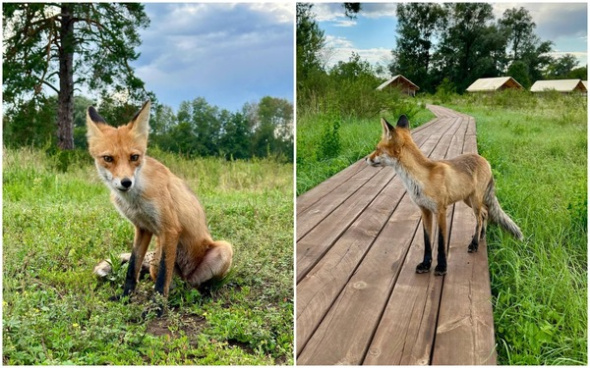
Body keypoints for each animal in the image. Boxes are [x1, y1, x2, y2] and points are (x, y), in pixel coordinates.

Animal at [86, 100, 234, 310]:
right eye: (108, 159)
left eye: (134, 157)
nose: (126, 182)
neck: (136, 200)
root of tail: (185, 279)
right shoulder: (142, 228)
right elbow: (132, 268)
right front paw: (125, 298)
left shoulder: (170, 229)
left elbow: (163, 278)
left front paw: (155, 310)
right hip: (156, 258)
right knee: (170, 283)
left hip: (223, 250)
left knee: (196, 284)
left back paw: (203, 293)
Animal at [368, 116, 524, 274]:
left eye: (377, 149)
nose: (366, 159)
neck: (421, 180)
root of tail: (485, 160)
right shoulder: (425, 210)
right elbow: (427, 241)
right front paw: (426, 264)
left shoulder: (441, 210)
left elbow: (441, 242)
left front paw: (442, 266)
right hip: (468, 200)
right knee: (485, 213)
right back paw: (480, 236)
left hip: (474, 200)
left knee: (480, 218)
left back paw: (474, 244)